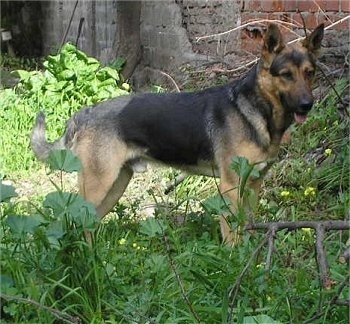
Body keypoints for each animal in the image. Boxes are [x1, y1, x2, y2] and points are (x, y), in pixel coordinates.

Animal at [31, 24, 324, 244]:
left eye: (309, 73)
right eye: (285, 75)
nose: (307, 105)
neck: (257, 110)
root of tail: (84, 113)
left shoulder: (253, 185)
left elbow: (247, 226)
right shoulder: (230, 187)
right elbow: (232, 233)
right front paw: (233, 262)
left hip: (115, 186)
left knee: (87, 224)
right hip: (98, 184)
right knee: (71, 221)